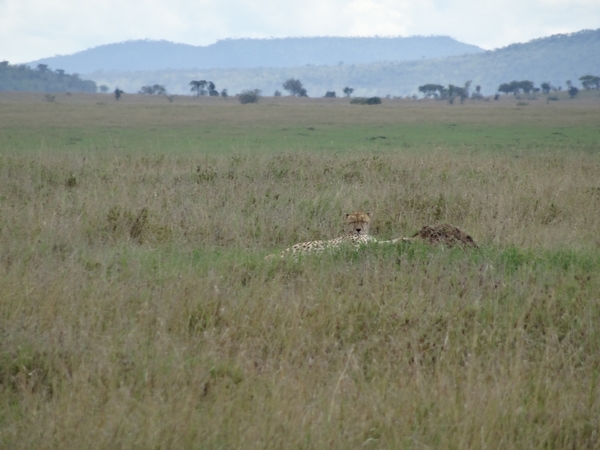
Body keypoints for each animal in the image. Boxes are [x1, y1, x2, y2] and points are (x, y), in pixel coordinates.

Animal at [266, 212, 404, 260]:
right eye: (353, 222)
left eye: (363, 221)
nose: (358, 230)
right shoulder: (356, 248)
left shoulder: (374, 242)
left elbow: (390, 241)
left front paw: (405, 239)